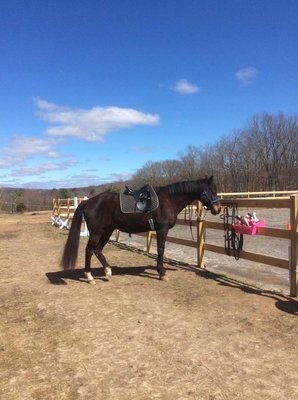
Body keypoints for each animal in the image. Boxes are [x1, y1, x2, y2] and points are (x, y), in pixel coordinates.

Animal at [60, 177, 221, 282]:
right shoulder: (162, 229)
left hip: (107, 231)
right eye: (211, 190)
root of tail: (89, 202)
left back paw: (108, 271)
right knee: (89, 250)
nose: (218, 209)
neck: (169, 199)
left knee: (98, 250)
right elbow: (161, 249)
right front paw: (161, 273)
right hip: (96, 233)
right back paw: (89, 276)